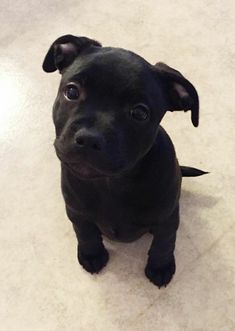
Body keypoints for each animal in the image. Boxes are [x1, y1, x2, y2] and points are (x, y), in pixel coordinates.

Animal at [42, 34, 206, 288]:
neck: (112, 184)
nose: (89, 139)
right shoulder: (76, 211)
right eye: (72, 92)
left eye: (139, 113)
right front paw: (91, 254)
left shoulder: (167, 218)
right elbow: (84, 232)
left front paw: (160, 267)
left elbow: (164, 242)